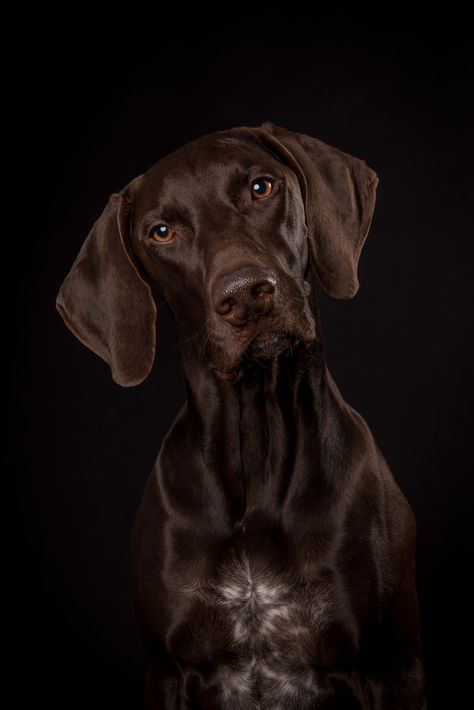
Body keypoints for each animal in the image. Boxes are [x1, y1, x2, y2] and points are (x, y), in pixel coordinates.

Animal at [55, 125, 426, 708]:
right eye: (162, 232)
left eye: (260, 187)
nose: (245, 294)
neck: (259, 444)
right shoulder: (166, 674)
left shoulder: (392, 667)